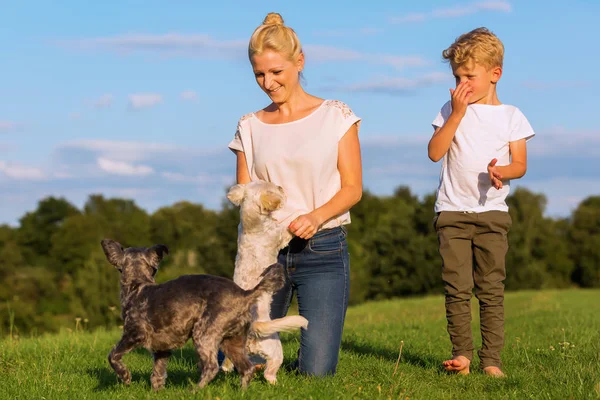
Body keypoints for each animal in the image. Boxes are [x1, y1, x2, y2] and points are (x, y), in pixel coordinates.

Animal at [101, 239, 286, 390]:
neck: (137, 286)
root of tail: (245, 295)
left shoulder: (133, 334)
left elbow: (113, 356)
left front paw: (125, 377)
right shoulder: (162, 350)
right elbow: (158, 374)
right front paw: (156, 392)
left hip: (204, 333)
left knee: (212, 367)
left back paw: (195, 390)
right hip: (232, 341)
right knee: (247, 368)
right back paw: (242, 392)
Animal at [224, 180, 310, 382]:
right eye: (273, 187)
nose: (281, 186)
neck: (251, 222)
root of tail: (252, 327)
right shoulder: (281, 235)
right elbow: (289, 224)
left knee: (227, 362)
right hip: (275, 350)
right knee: (269, 373)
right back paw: (277, 383)